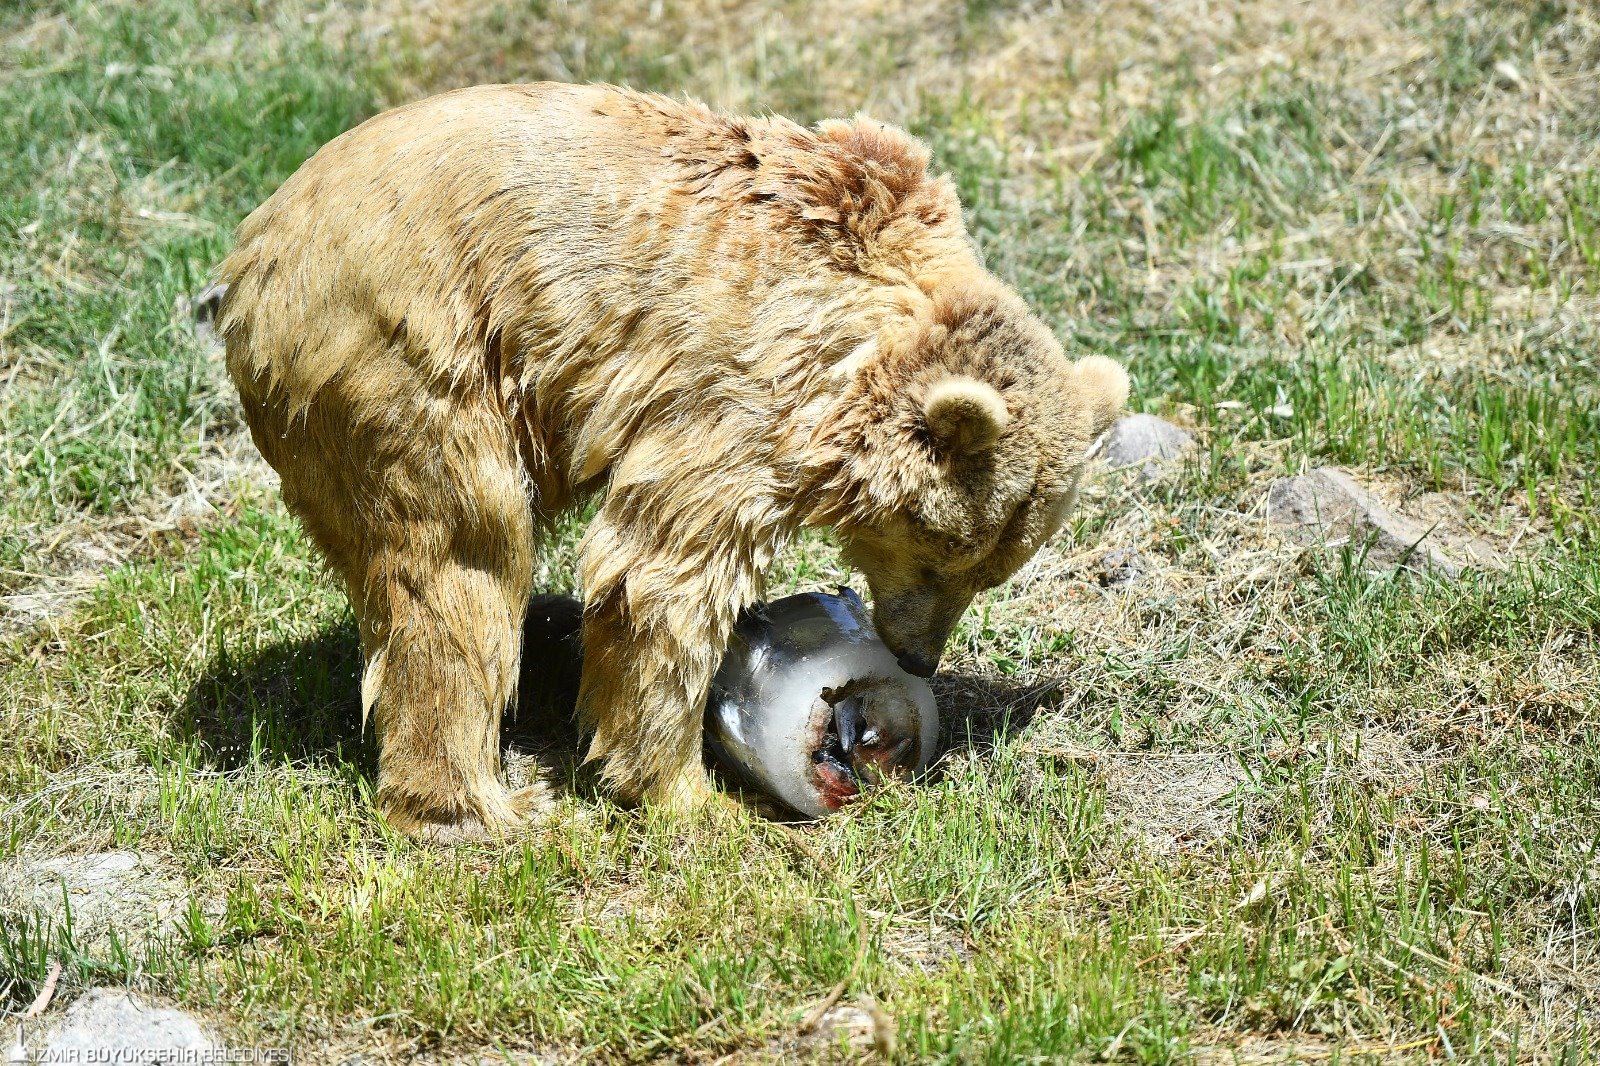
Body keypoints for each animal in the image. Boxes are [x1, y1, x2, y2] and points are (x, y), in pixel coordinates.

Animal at [216, 82, 1129, 840]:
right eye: (944, 551)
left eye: (994, 570)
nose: (917, 657)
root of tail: (250, 263)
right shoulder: (736, 390)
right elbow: (663, 575)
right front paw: (688, 793)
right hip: (419, 357)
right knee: (461, 563)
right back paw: (474, 806)